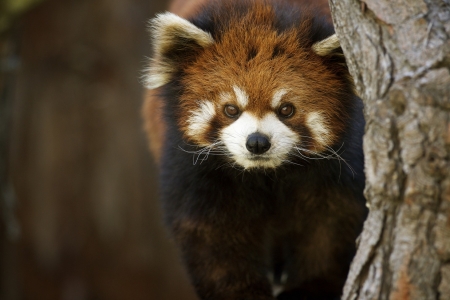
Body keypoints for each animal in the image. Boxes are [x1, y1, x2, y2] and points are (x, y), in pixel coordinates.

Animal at [142, 1, 368, 298]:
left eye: (286, 109)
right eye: (230, 109)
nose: (257, 142)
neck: (266, 174)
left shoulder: (340, 167)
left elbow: (330, 229)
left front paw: (311, 287)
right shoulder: (195, 173)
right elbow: (214, 239)